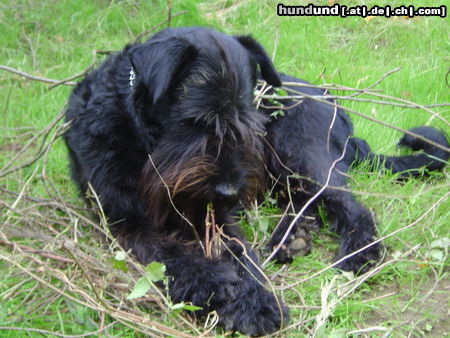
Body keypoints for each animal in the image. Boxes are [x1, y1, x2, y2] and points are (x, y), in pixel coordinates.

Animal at [63, 27, 288, 336]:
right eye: (195, 122)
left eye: (246, 123)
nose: (229, 192)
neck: (142, 139)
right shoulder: (129, 225)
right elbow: (171, 256)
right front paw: (214, 284)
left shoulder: (216, 218)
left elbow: (240, 254)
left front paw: (255, 299)